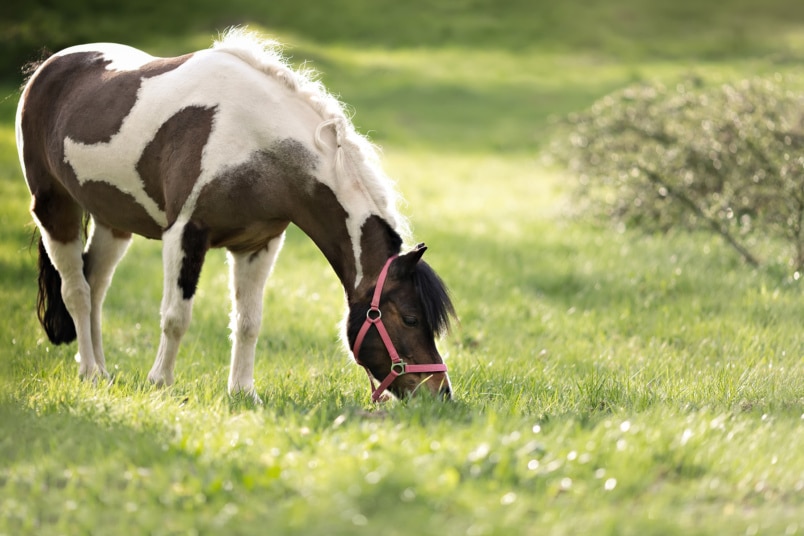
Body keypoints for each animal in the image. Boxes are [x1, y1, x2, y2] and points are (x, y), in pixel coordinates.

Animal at [14, 28, 452, 402]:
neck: (256, 141)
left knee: (97, 286)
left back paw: (103, 372)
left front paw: (243, 392)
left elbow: (248, 322)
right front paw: (160, 383)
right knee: (77, 292)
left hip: (113, 223)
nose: (440, 393)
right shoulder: (185, 235)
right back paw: (90, 372)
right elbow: (176, 316)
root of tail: (46, 68)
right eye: (410, 319)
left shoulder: (258, 245)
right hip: (55, 208)